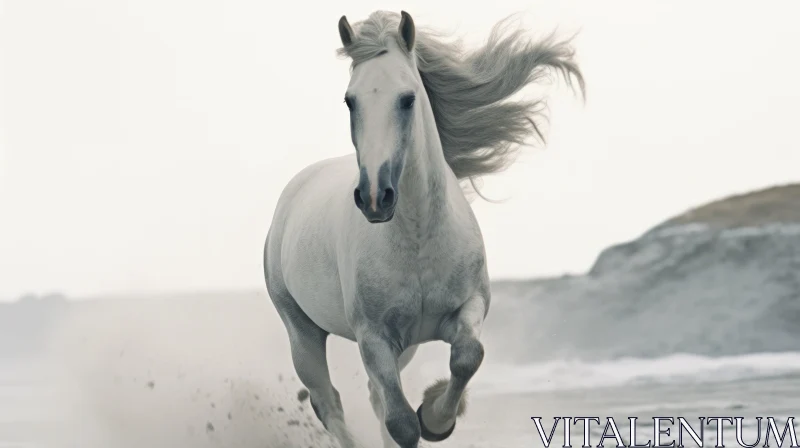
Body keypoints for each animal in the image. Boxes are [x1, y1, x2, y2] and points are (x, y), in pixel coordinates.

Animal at [262, 10, 580, 448]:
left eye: (407, 98)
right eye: (350, 100)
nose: (375, 197)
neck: (418, 240)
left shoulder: (469, 306)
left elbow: (467, 358)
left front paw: (436, 417)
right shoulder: (374, 337)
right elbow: (401, 424)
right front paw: (427, 418)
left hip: (403, 347)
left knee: (371, 396)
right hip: (301, 331)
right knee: (329, 403)